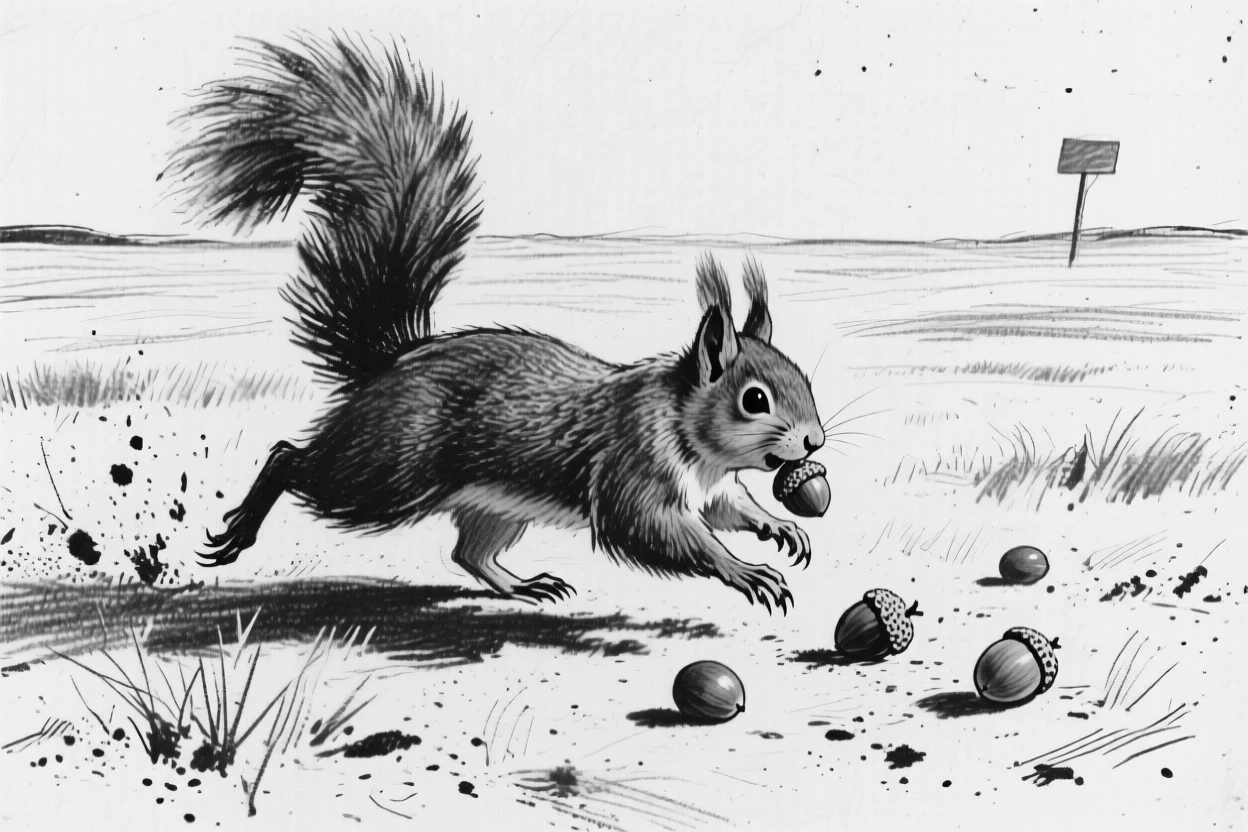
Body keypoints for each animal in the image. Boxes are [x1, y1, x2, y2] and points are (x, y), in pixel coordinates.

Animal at [167, 33, 826, 613]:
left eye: (805, 382)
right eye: (755, 399)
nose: (815, 441)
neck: (688, 430)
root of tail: (390, 364)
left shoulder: (711, 488)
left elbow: (729, 510)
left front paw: (776, 526)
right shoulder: (632, 466)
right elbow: (656, 530)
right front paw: (744, 570)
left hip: (496, 505)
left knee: (468, 553)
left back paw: (525, 585)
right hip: (386, 471)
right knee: (293, 460)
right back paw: (241, 528)